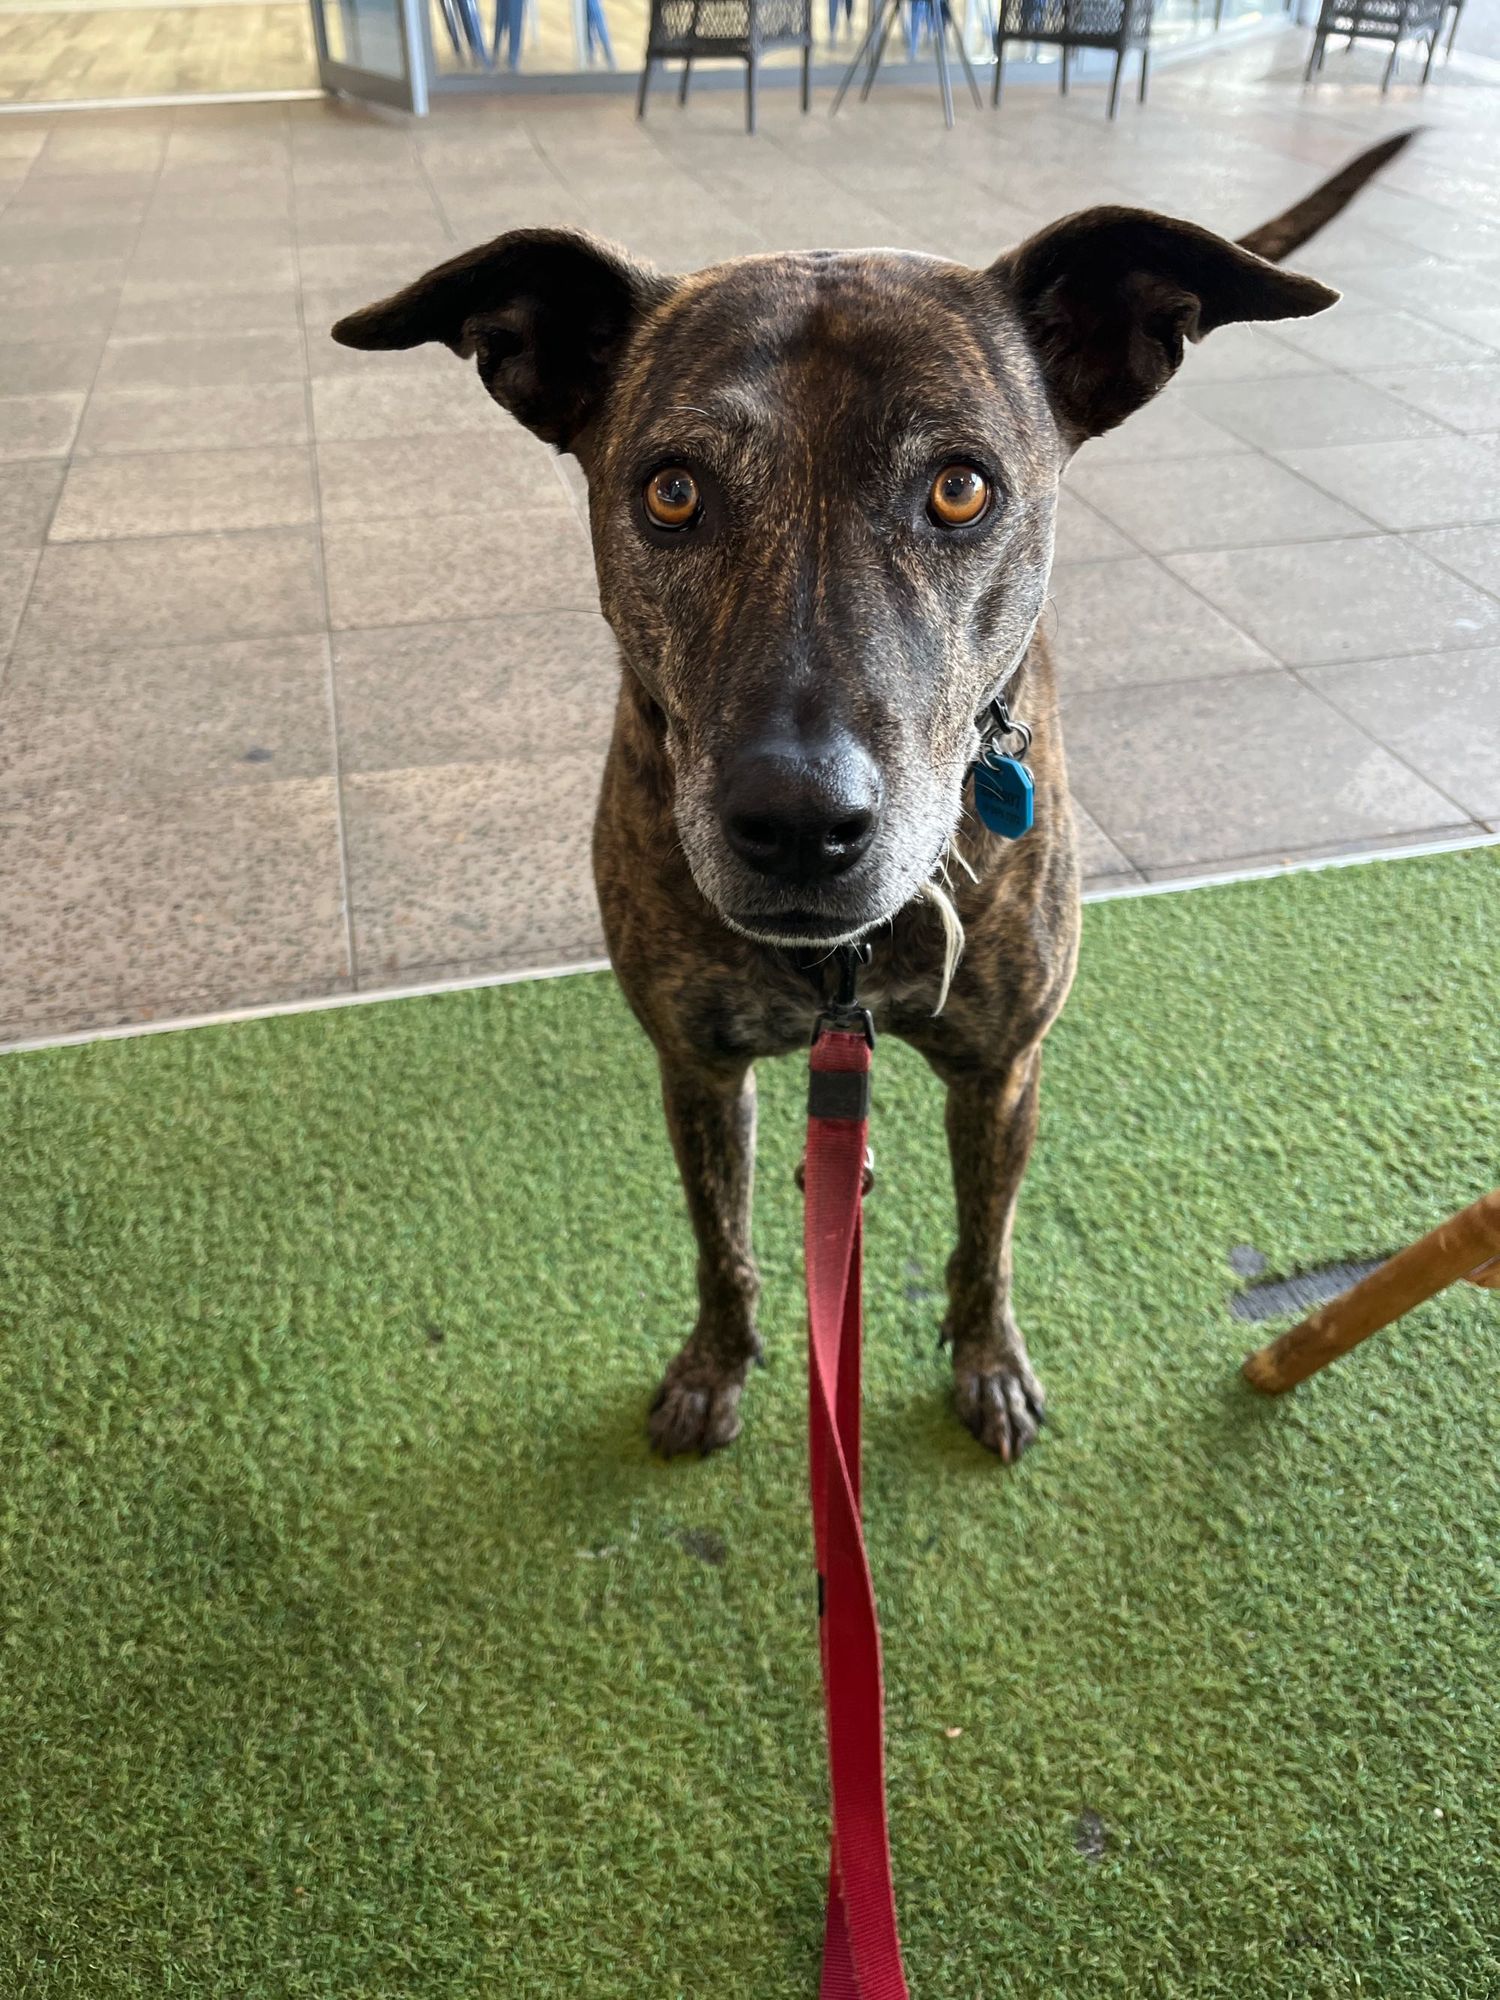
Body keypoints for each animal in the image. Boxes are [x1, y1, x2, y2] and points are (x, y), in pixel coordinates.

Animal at [334, 133, 1416, 1464]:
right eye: (672, 491)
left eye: (960, 489)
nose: (801, 824)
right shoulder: (697, 1069)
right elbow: (722, 1241)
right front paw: (715, 1365)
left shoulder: (1002, 1071)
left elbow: (986, 1239)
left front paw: (988, 1362)